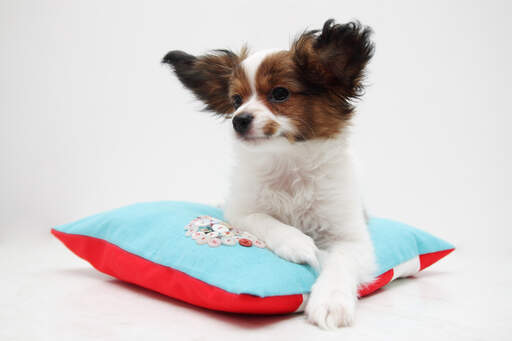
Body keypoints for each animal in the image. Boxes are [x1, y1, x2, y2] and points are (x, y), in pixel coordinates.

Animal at [164, 19, 376, 330]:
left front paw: (330, 301)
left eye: (280, 94)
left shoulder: (351, 237)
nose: (239, 120)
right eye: (235, 100)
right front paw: (297, 243)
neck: (288, 162)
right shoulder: (241, 210)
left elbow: (341, 263)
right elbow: (267, 221)